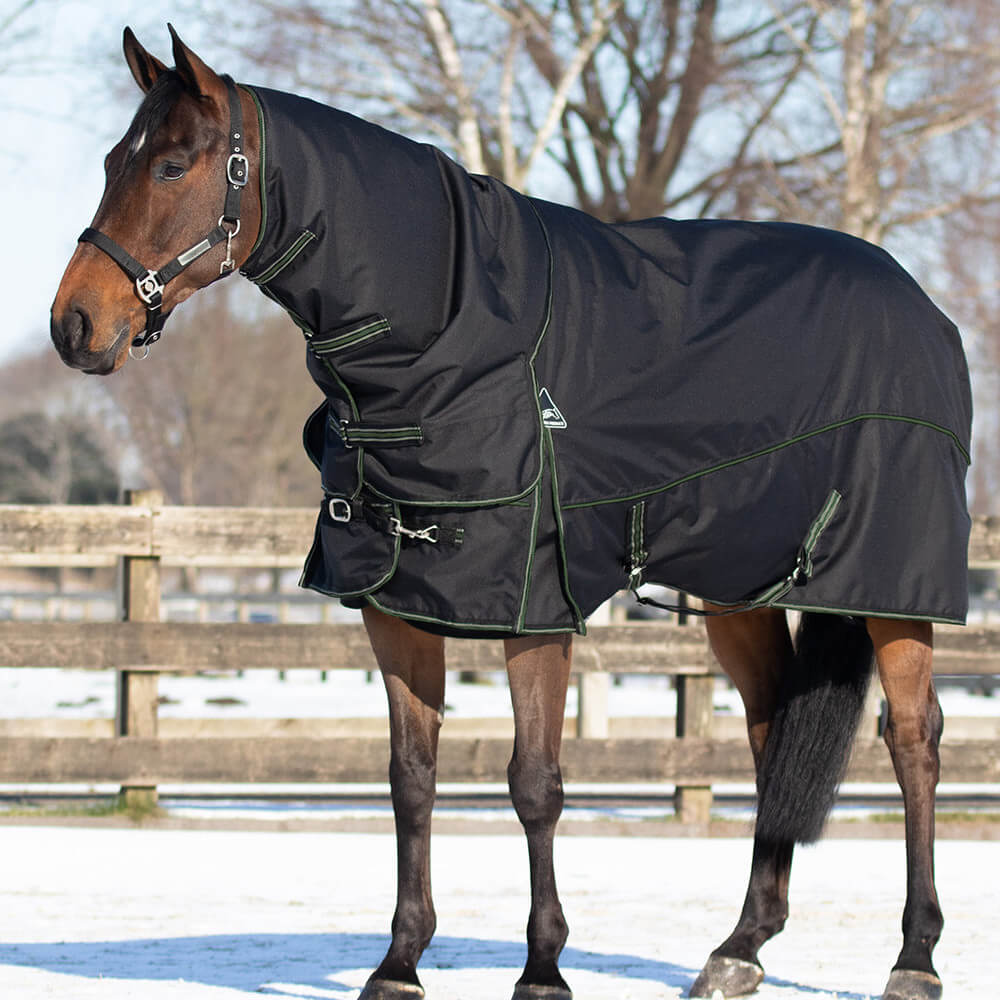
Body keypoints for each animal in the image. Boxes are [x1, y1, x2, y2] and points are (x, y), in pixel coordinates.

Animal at [50, 26, 971, 1000]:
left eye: (172, 165)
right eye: (112, 161)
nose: (74, 324)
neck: (454, 337)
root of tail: (920, 305)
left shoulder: (538, 609)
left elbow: (535, 783)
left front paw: (542, 967)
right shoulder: (396, 604)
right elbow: (411, 778)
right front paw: (400, 963)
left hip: (895, 591)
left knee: (915, 740)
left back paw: (914, 957)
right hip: (739, 589)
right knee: (771, 735)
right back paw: (740, 947)